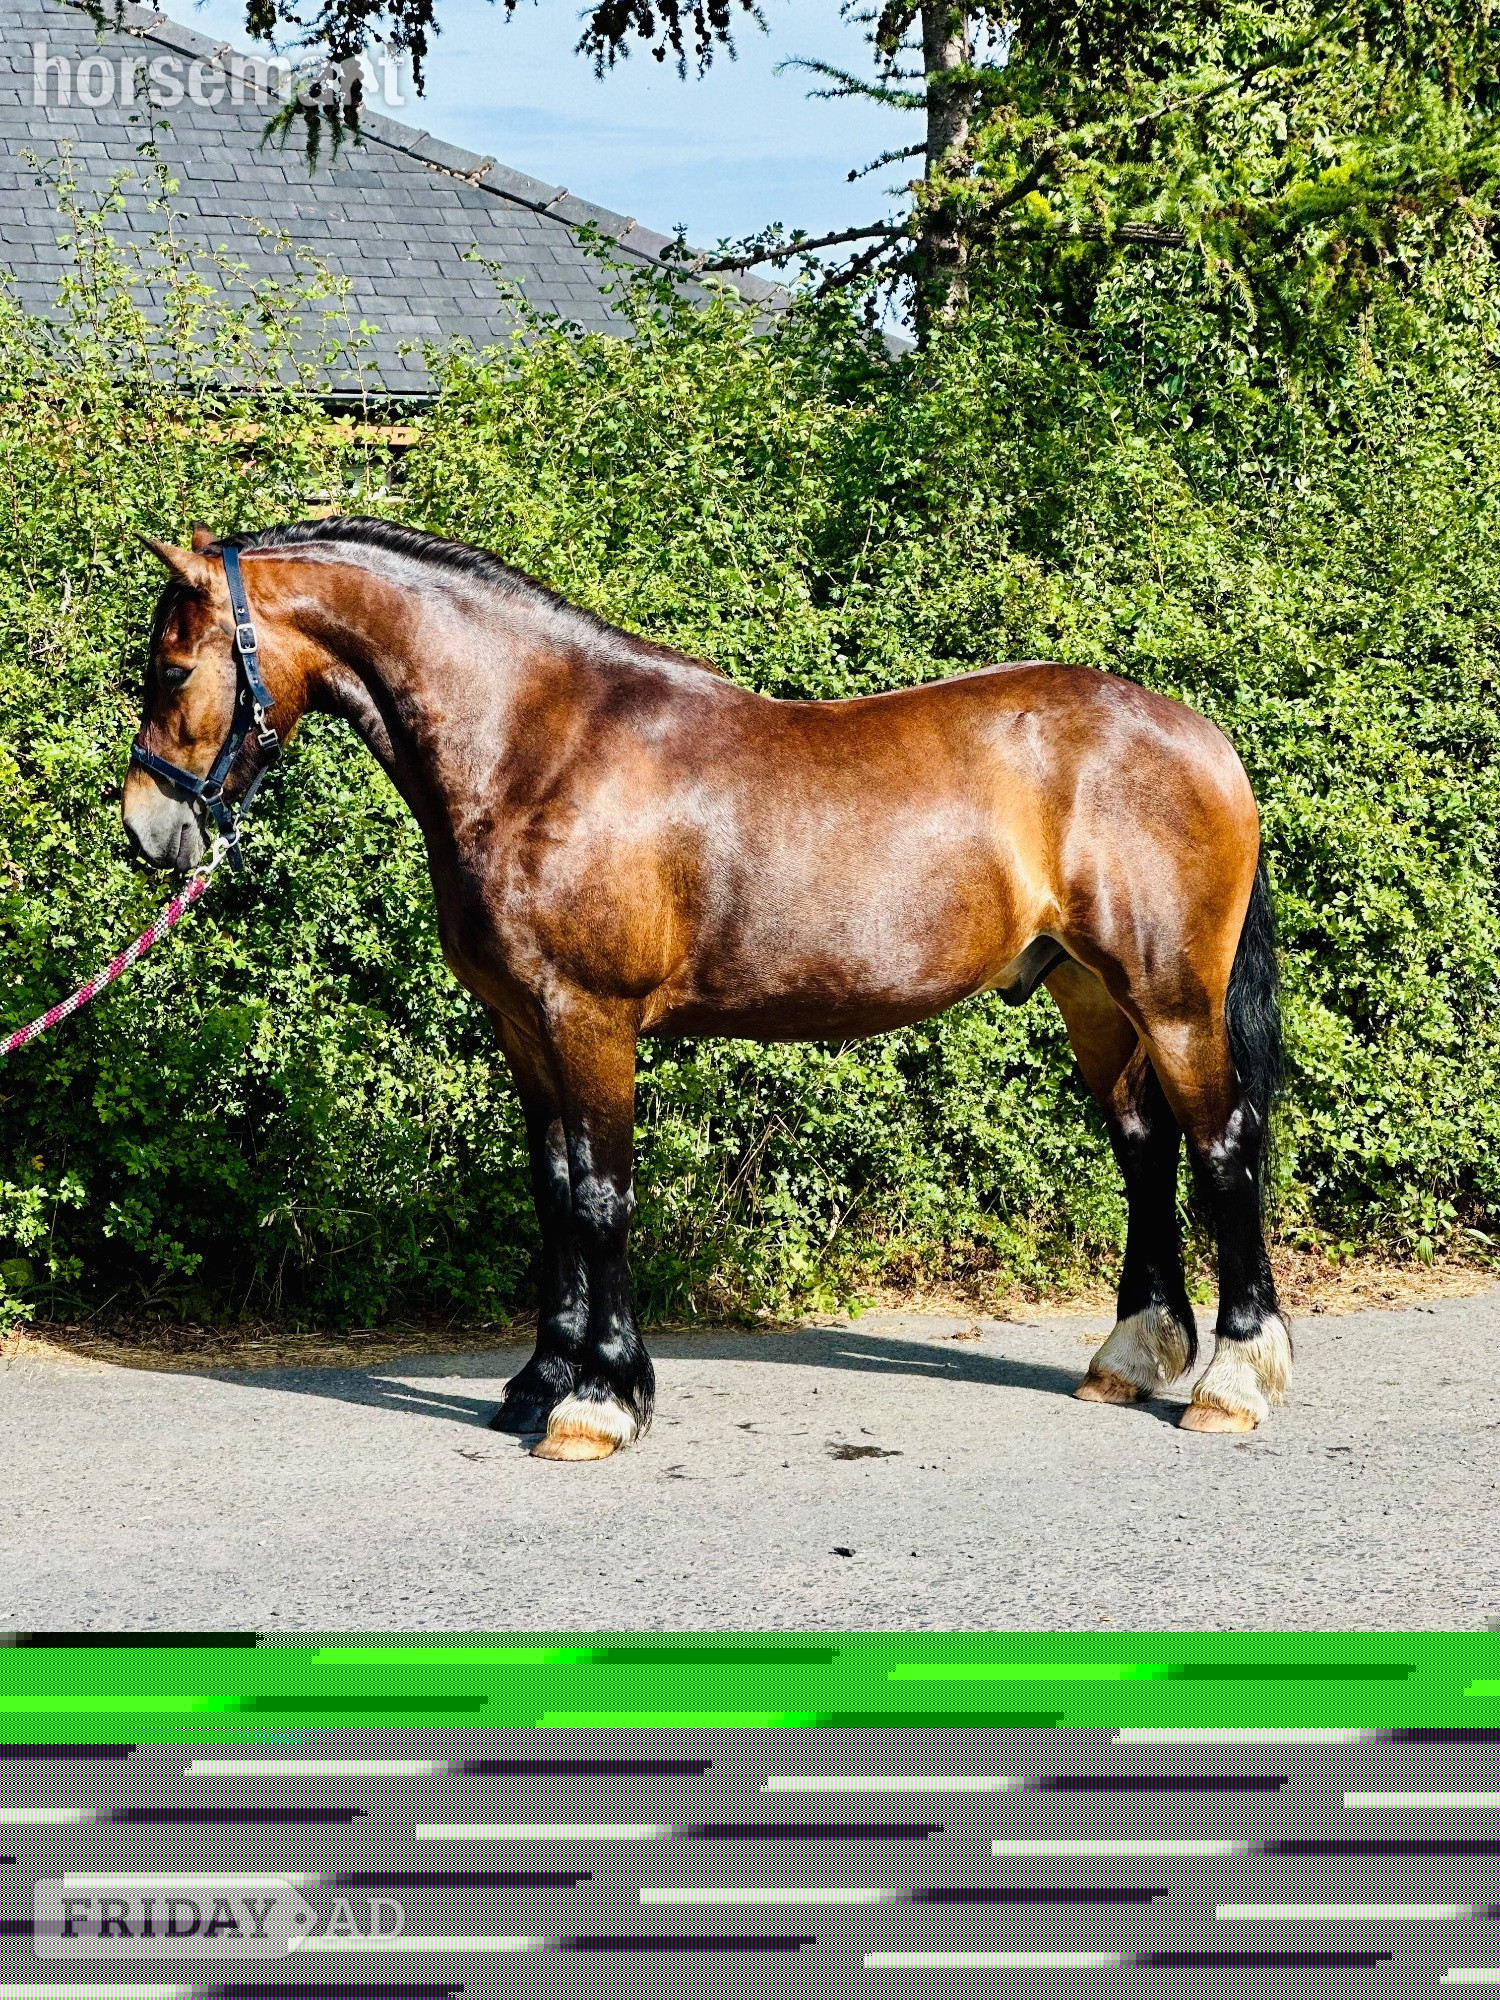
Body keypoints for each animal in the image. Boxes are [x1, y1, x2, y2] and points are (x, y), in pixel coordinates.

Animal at [123, 516, 1289, 1461]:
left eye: (172, 671)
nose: (146, 829)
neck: (539, 749)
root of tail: (1203, 736)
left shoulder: (589, 1017)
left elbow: (601, 1194)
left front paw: (599, 1403)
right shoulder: (521, 1024)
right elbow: (553, 1189)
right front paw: (538, 1382)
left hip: (1173, 999)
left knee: (1223, 1148)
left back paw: (1232, 1382)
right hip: (1091, 995)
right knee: (1144, 1145)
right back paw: (1129, 1358)